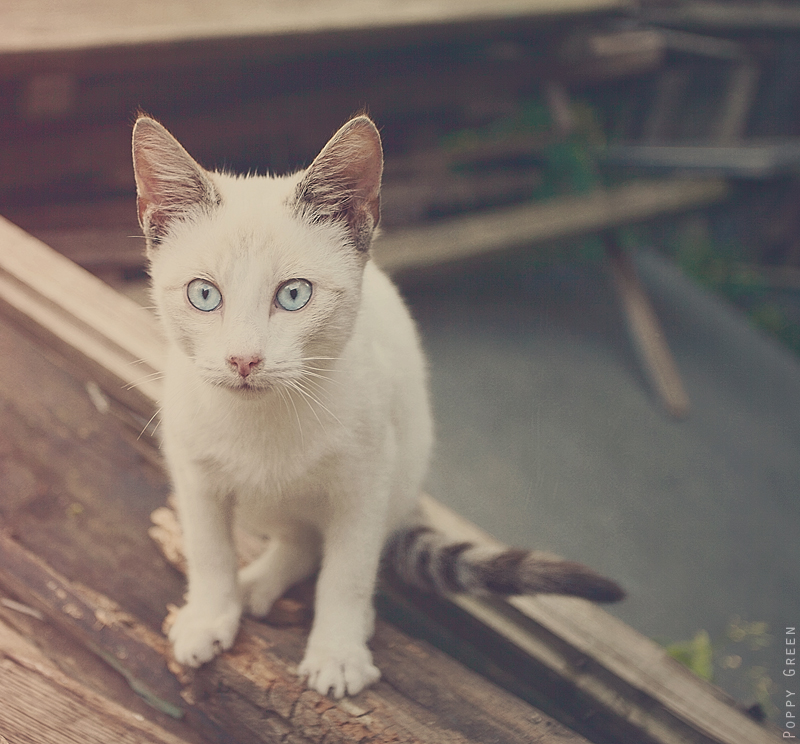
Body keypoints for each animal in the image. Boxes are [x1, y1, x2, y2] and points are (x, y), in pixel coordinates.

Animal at [133, 115, 624, 696]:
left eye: (294, 295)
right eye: (204, 295)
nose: (244, 359)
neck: (266, 422)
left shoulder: (367, 478)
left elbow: (348, 571)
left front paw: (338, 652)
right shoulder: (194, 469)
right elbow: (209, 549)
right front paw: (209, 616)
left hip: (402, 464)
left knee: (317, 543)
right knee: (296, 537)